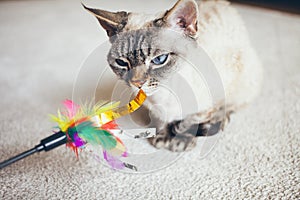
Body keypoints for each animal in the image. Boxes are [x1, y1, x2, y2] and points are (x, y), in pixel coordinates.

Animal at [82, 0, 262, 152]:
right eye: (121, 62)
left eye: (159, 59)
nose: (137, 83)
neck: (164, 93)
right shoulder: (157, 110)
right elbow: (163, 120)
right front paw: (163, 135)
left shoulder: (214, 95)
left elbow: (192, 119)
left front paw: (181, 137)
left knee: (231, 106)